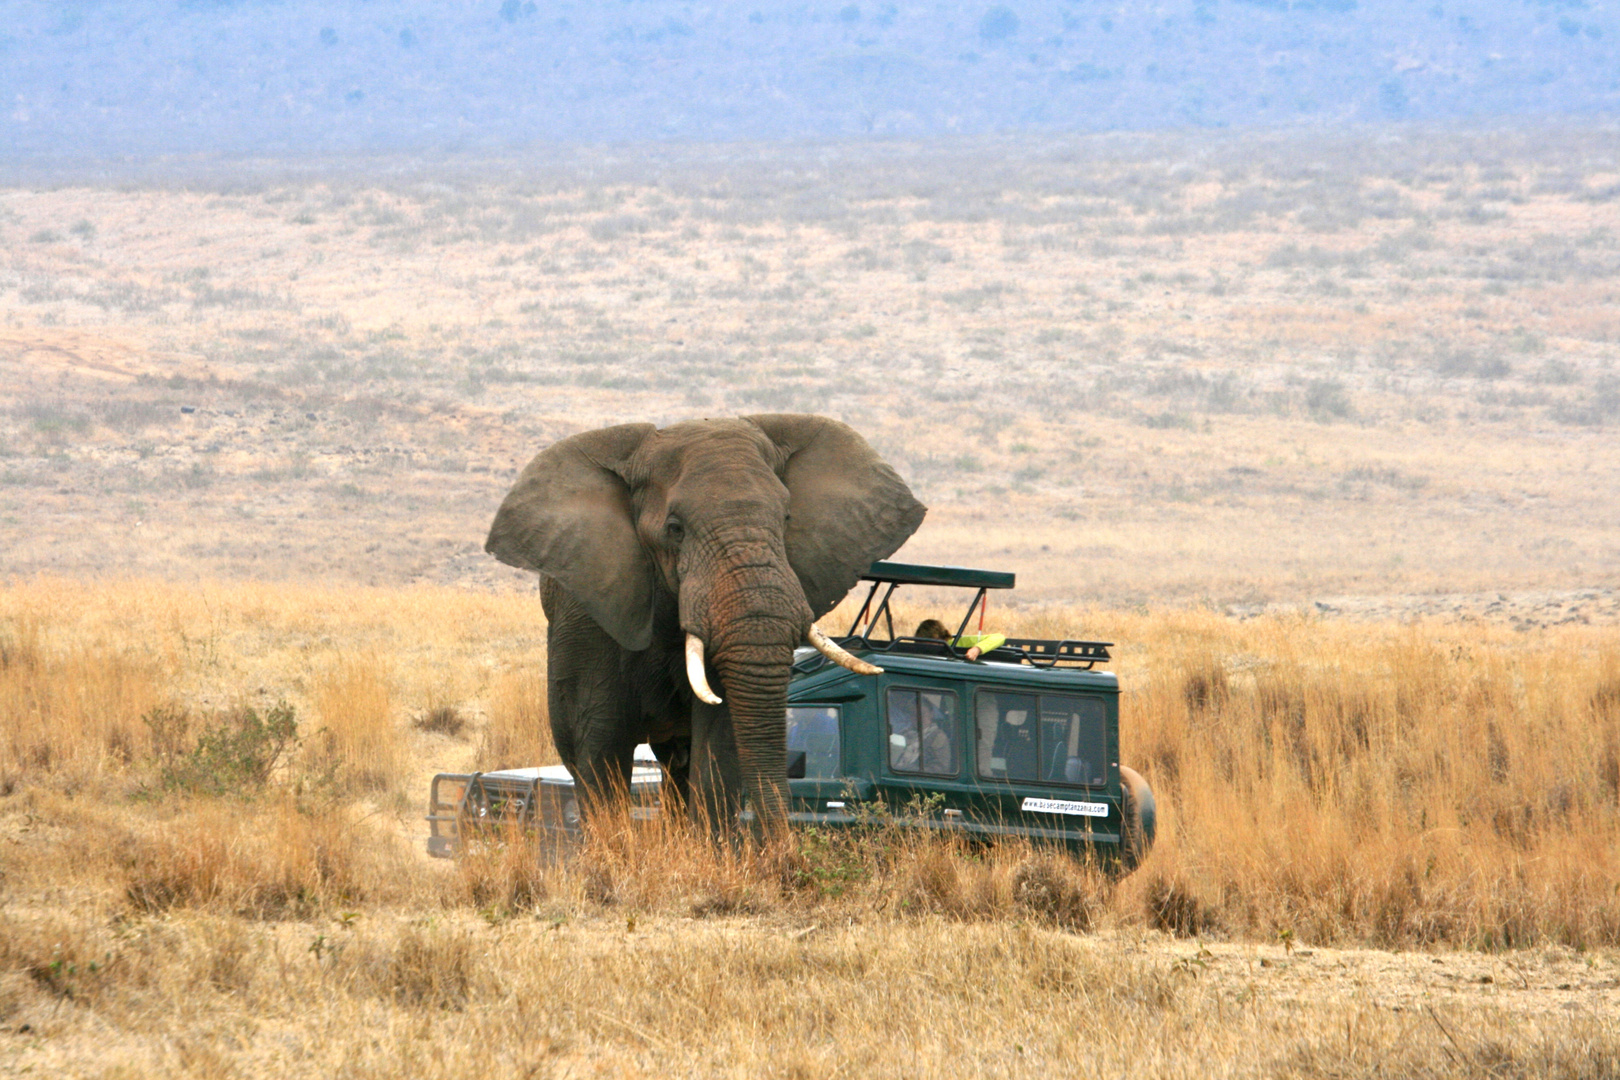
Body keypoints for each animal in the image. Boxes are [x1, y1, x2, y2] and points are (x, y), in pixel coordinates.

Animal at [482, 417, 926, 835]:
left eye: (786, 518)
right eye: (675, 529)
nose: (784, 856)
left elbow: (717, 745)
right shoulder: (592, 610)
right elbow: (600, 745)